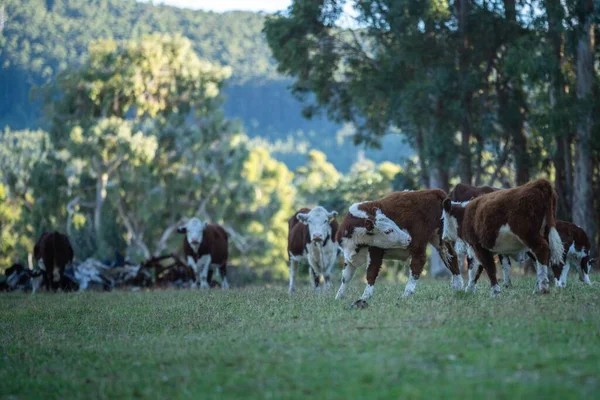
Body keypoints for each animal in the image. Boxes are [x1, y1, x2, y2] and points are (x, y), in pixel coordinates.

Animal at [332, 189, 464, 308]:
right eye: (388, 230)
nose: (408, 238)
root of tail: (435, 192)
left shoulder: (376, 252)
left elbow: (371, 273)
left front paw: (364, 297)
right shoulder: (348, 258)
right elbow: (345, 277)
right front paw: (338, 297)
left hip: (419, 242)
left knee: (418, 262)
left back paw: (407, 293)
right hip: (439, 238)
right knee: (451, 257)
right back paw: (458, 287)